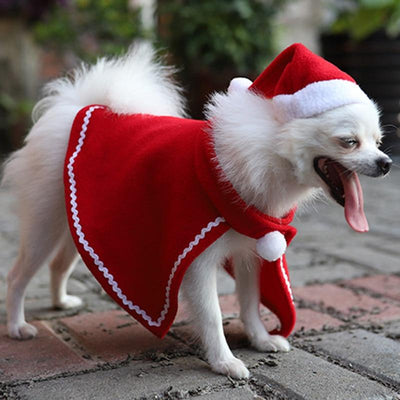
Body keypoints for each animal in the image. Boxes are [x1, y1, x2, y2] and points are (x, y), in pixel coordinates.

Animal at [2, 43, 390, 378]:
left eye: (378, 141)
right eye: (349, 142)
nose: (386, 163)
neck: (261, 152)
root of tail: (82, 108)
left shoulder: (250, 252)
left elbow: (249, 303)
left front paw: (260, 339)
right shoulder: (195, 260)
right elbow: (212, 315)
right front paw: (224, 362)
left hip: (75, 221)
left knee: (58, 264)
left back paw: (60, 302)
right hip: (44, 225)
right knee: (18, 275)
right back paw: (18, 326)